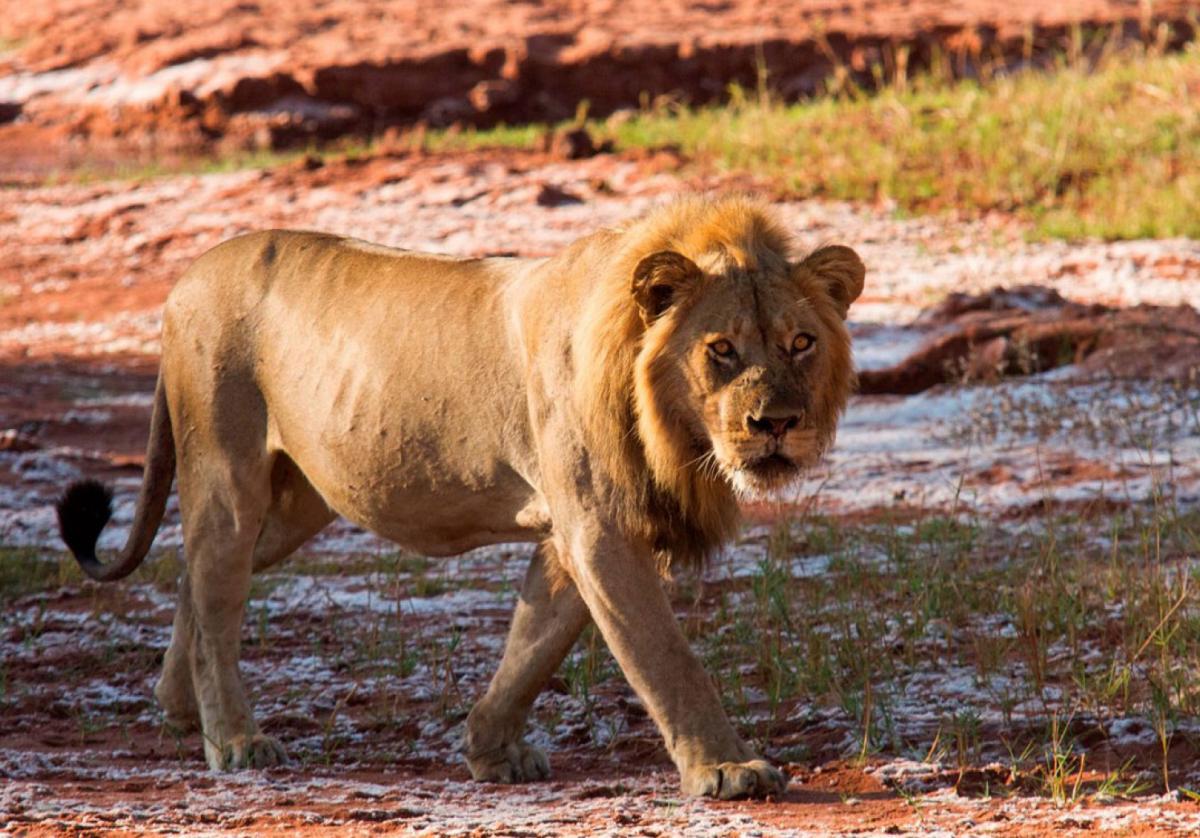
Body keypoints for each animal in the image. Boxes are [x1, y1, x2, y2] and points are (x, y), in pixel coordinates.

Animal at [58, 194, 864, 797]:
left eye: (800, 343)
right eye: (720, 349)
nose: (776, 424)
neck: (672, 433)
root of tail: (184, 279)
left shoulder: (571, 535)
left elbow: (534, 646)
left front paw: (489, 751)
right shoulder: (600, 526)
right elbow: (666, 657)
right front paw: (727, 768)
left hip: (296, 502)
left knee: (194, 577)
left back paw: (177, 708)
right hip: (228, 473)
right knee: (216, 588)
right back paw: (233, 739)